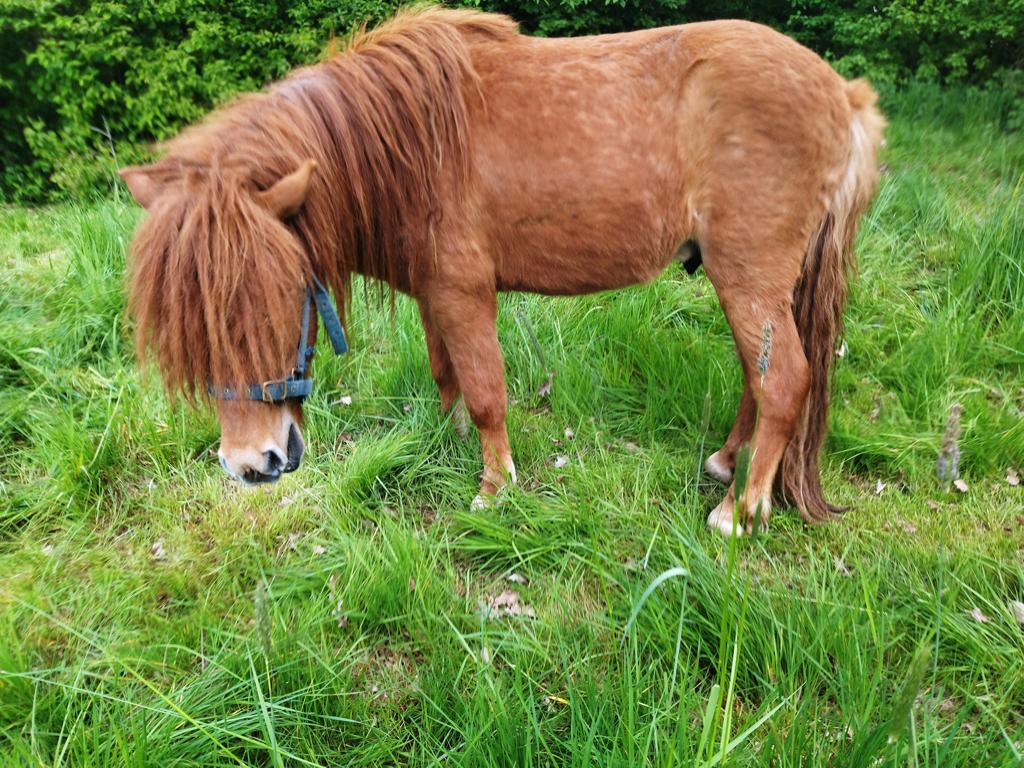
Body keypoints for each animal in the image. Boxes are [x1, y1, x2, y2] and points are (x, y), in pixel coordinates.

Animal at [120, 6, 885, 535]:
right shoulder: (434, 295)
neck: (410, 145)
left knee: (783, 381)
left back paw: (740, 510)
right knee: (759, 378)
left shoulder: (465, 294)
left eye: (278, 300)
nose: (252, 465)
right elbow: (447, 376)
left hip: (747, 278)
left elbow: (488, 392)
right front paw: (447, 440)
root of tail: (842, 95)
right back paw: (728, 463)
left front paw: (493, 488)